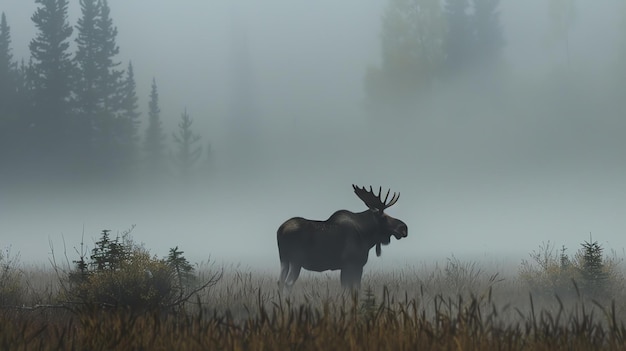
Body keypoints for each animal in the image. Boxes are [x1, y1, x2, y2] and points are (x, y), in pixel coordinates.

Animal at [276, 186, 408, 290]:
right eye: (383, 217)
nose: (404, 228)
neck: (366, 236)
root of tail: (280, 230)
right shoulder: (352, 264)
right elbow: (351, 288)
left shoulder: (348, 267)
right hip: (296, 260)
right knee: (288, 283)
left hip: (284, 259)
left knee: (280, 281)